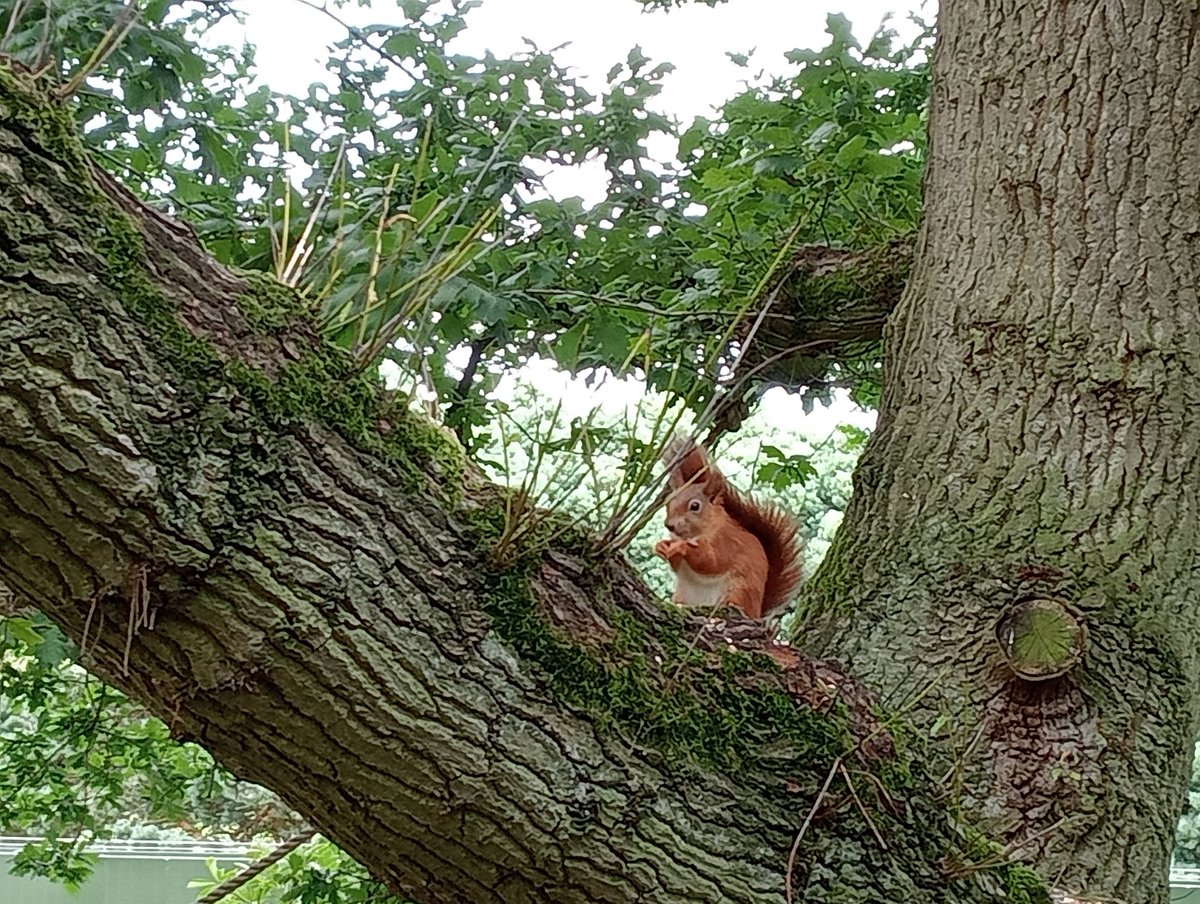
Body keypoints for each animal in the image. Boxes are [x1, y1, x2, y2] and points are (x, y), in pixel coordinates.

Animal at [653, 437, 804, 620]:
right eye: (668, 502)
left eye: (695, 506)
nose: (669, 525)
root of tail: (756, 613)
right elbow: (678, 565)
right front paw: (661, 546)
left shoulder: (727, 542)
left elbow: (711, 561)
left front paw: (683, 547)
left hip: (739, 590)